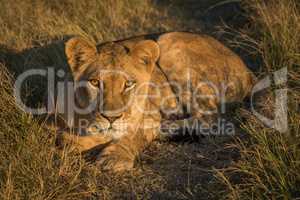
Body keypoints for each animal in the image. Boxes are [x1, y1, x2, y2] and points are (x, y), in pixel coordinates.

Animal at [54, 31, 255, 172]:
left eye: (128, 84)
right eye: (95, 82)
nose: (112, 118)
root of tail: (248, 71)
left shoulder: (148, 115)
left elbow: (133, 134)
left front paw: (115, 156)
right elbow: (65, 139)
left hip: (170, 41)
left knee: (212, 119)